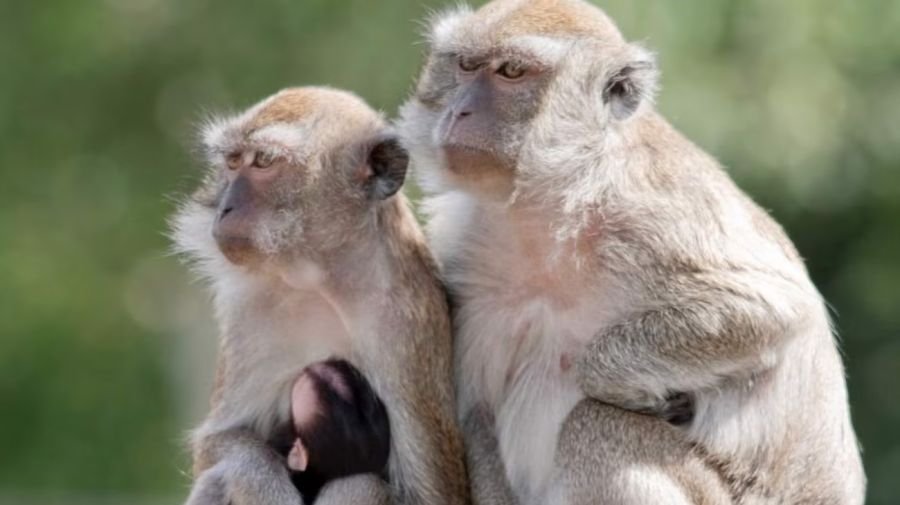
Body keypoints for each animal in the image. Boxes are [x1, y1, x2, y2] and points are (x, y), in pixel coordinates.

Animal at [397, 1, 865, 504]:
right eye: (465, 65)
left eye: (512, 72)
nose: (459, 110)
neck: (549, 207)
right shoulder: (466, 255)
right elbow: (476, 416)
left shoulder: (654, 214)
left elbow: (771, 307)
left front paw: (618, 383)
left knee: (595, 426)